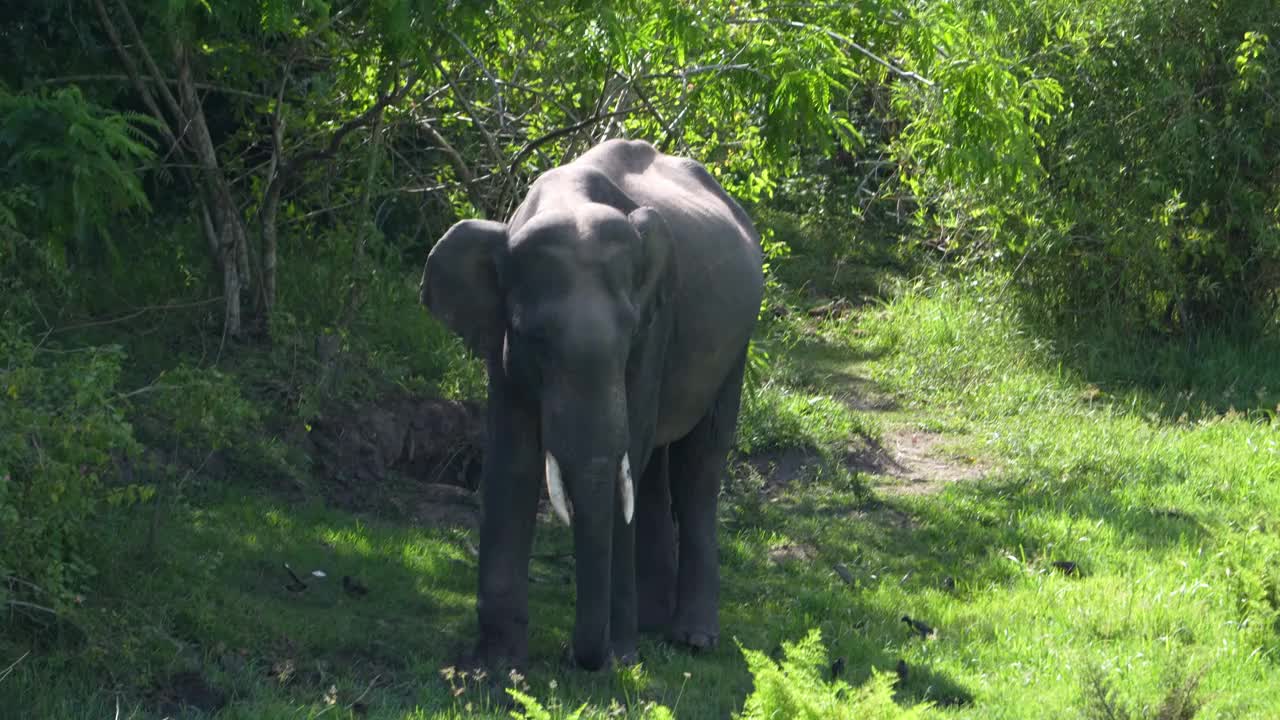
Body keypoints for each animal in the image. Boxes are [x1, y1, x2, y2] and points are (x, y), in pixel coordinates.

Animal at [417, 137, 757, 671]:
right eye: (533, 338)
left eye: (629, 334)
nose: (581, 659)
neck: (569, 200)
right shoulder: (500, 340)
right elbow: (512, 459)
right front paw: (494, 669)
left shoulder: (656, 323)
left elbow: (626, 456)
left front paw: (618, 657)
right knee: (652, 472)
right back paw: (651, 625)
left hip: (737, 343)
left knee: (696, 467)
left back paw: (692, 639)